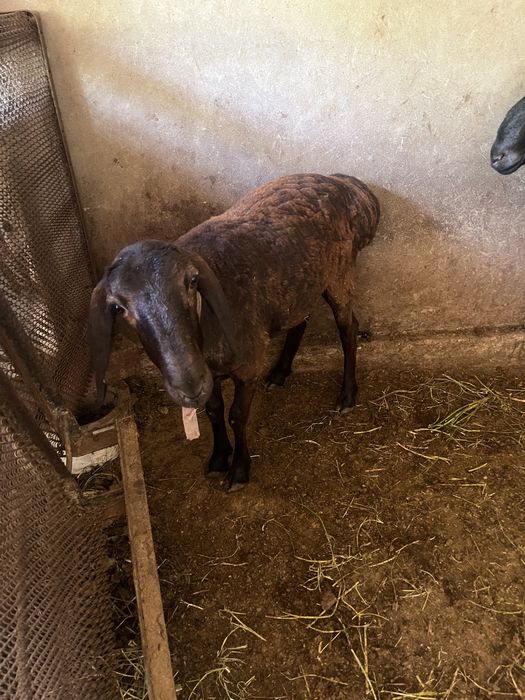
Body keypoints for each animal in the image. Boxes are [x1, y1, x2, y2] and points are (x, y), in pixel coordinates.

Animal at [89, 173, 380, 490]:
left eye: (192, 282)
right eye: (118, 306)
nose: (189, 388)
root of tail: (343, 183)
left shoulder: (248, 366)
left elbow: (237, 416)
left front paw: (239, 470)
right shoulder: (211, 374)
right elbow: (214, 410)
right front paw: (219, 458)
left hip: (339, 274)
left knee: (348, 328)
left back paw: (347, 396)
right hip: (298, 288)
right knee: (300, 320)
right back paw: (280, 372)